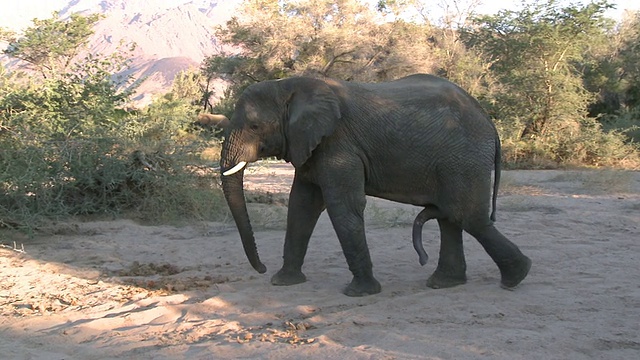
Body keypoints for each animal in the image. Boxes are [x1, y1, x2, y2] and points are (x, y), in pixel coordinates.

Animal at [220, 73, 528, 296]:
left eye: (255, 127)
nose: (261, 268)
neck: (288, 85)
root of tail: (489, 123)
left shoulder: (339, 145)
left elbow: (343, 207)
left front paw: (360, 293)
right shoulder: (309, 145)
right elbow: (301, 206)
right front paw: (283, 282)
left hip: (464, 159)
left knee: (468, 216)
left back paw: (516, 277)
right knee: (451, 217)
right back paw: (445, 283)